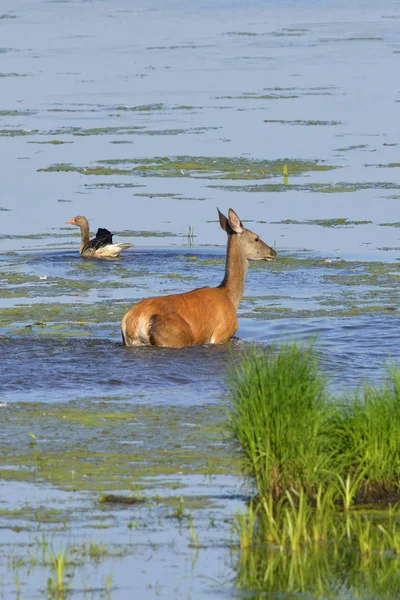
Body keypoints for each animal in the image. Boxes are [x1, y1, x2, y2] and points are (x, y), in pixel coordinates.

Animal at [120, 207, 276, 350]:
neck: (230, 297)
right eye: (256, 238)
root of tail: (133, 321)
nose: (273, 252)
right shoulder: (221, 333)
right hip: (174, 336)